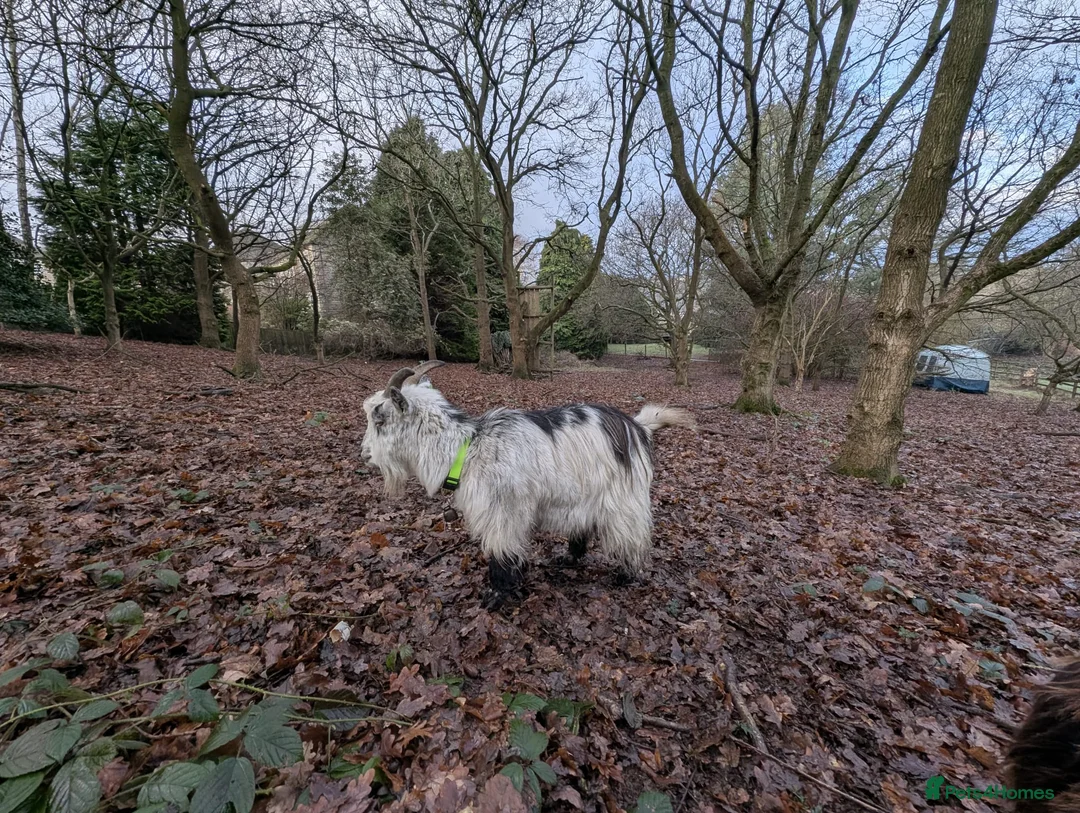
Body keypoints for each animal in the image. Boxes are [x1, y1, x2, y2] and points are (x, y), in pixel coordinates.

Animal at [359, 362, 694, 606]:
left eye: (379, 417)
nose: (364, 454)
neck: (467, 449)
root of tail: (637, 426)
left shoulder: (502, 514)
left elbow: (501, 554)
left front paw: (496, 597)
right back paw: (569, 558)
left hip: (624, 497)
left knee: (632, 535)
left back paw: (627, 575)